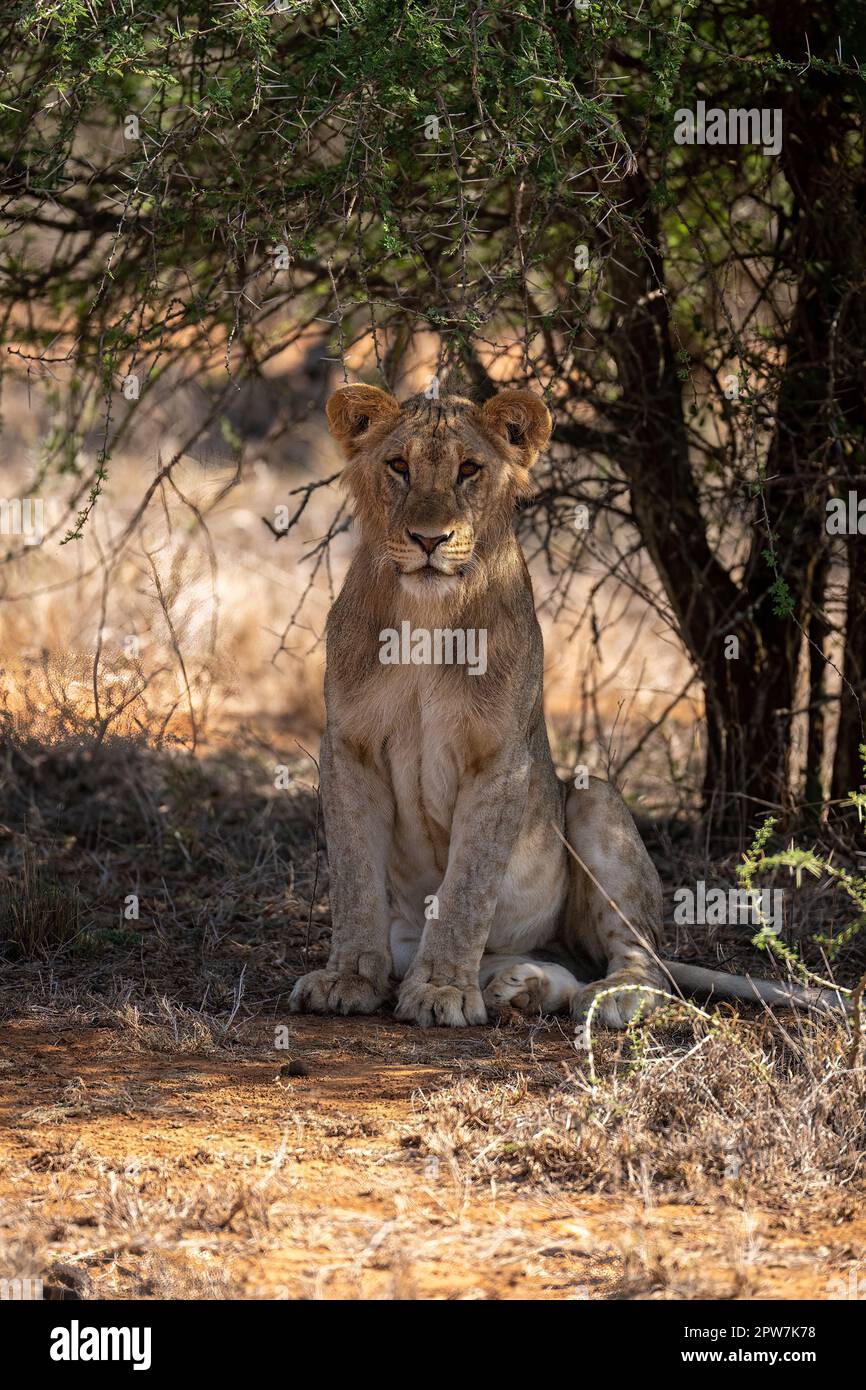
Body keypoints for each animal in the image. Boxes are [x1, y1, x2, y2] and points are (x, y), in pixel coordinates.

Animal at [289, 384, 847, 1029]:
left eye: (469, 470)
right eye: (398, 466)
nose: (430, 540)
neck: (426, 617)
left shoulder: (501, 760)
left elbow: (466, 889)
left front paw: (440, 990)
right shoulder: (348, 747)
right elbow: (355, 879)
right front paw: (348, 978)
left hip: (592, 797)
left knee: (645, 967)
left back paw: (610, 997)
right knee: (560, 964)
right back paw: (519, 988)